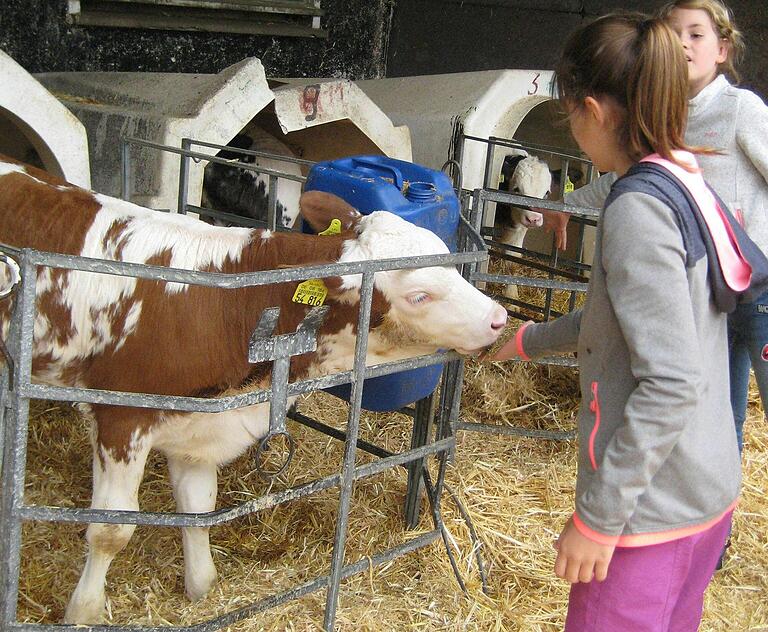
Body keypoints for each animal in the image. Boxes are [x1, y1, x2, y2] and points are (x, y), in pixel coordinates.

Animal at [0, 157, 508, 624]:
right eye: (419, 295)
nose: (499, 318)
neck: (228, 303)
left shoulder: (201, 421)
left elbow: (198, 506)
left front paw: (202, 586)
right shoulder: (120, 419)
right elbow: (110, 530)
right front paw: (83, 611)